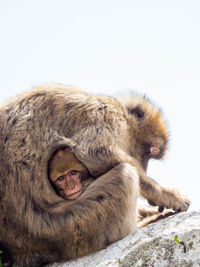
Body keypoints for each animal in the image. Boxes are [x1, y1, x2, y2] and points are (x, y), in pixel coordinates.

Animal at [0, 85, 190, 266]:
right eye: (151, 151)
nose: (144, 167)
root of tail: (21, 253)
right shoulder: (106, 115)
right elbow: (96, 153)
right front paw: (166, 195)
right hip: (68, 229)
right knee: (125, 176)